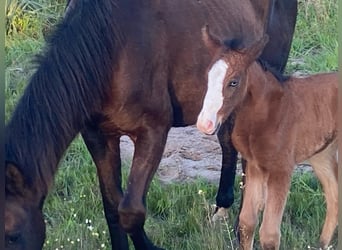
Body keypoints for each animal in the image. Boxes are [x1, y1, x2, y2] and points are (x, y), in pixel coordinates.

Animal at [4, 0, 296, 249]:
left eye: (12, 234)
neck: (113, 50)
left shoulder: (152, 132)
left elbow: (130, 211)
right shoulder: (97, 136)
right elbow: (112, 207)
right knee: (227, 140)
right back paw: (222, 208)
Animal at [196, 25, 338, 250]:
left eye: (233, 82)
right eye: (207, 78)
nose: (205, 123)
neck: (266, 114)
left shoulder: (281, 169)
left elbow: (269, 234)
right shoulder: (255, 165)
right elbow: (247, 223)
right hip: (321, 153)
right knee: (334, 196)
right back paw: (322, 244)